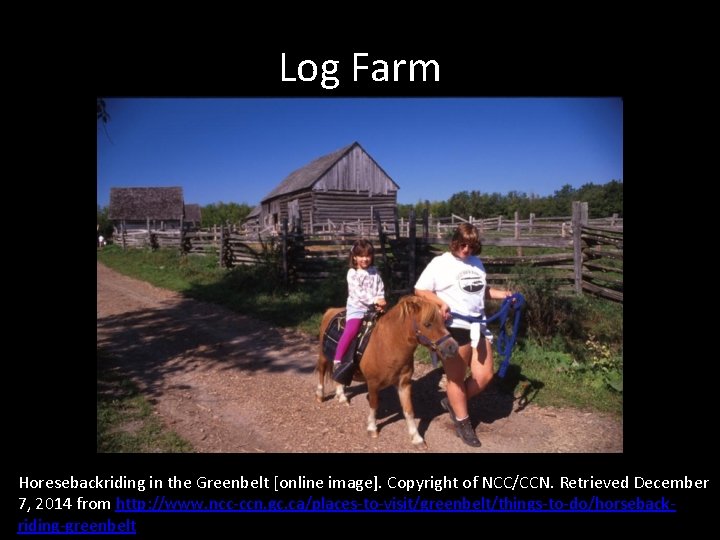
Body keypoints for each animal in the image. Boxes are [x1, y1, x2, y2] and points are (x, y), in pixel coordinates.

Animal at [314, 296, 456, 448]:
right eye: (427, 324)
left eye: (443, 321)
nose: (453, 347)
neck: (387, 344)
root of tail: (331, 310)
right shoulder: (373, 383)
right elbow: (374, 405)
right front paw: (372, 428)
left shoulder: (404, 384)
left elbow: (409, 410)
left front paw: (416, 438)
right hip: (323, 356)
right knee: (321, 372)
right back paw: (320, 395)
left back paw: (341, 396)